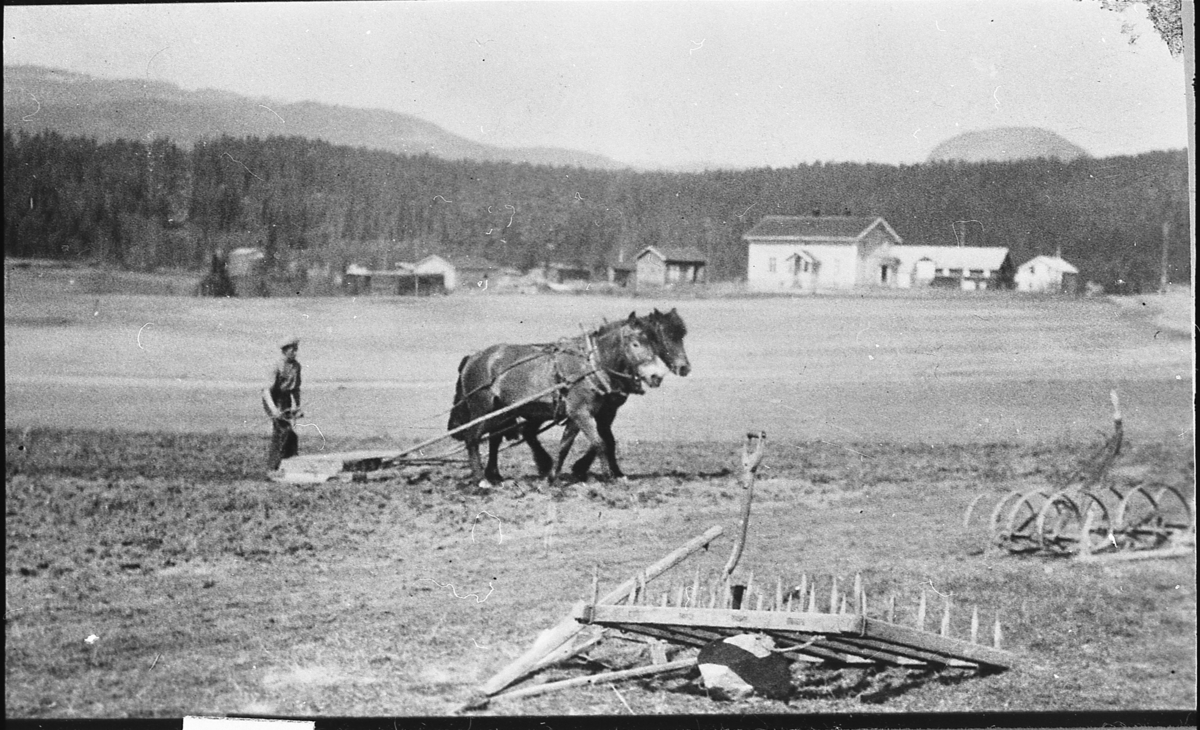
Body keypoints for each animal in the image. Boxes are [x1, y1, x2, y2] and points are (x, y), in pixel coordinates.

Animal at [451, 312, 676, 487]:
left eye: (654, 343)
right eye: (636, 344)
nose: (656, 376)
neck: (590, 367)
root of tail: (474, 357)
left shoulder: (577, 415)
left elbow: (565, 445)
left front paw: (552, 478)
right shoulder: (581, 413)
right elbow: (600, 443)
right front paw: (609, 477)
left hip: (502, 412)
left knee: (494, 438)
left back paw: (495, 476)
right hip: (482, 408)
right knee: (472, 438)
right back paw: (481, 480)